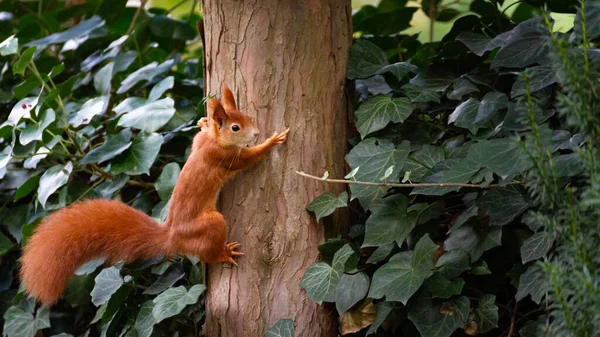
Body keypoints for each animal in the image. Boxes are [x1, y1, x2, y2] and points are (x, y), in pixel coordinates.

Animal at [19, 83, 290, 304]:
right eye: (235, 127)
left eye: (247, 117)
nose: (256, 133)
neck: (214, 141)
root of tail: (172, 236)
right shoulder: (224, 156)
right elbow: (250, 157)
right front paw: (271, 141)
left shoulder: (201, 142)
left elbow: (197, 136)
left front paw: (203, 122)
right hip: (210, 225)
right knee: (208, 253)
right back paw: (224, 253)